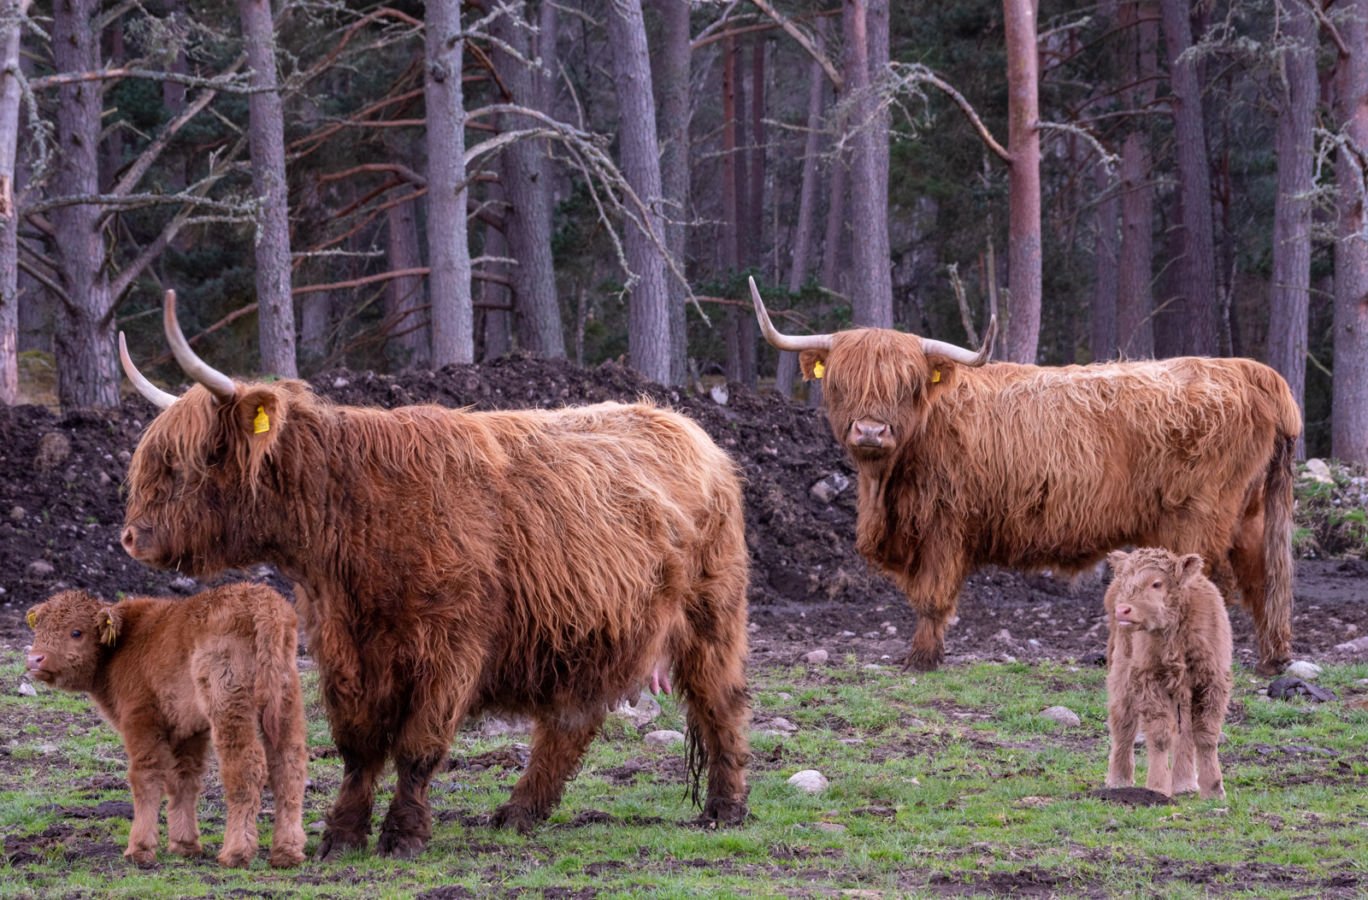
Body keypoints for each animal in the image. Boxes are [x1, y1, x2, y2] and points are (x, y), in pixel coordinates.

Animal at [24, 577, 307, 864]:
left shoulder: (141, 719)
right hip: (286, 706)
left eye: (76, 632)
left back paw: (236, 852)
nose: (35, 659)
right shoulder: (188, 730)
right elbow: (183, 779)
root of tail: (262, 603)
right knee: (288, 768)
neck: (122, 644)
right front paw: (184, 844)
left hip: (229, 708)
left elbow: (145, 777)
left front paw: (139, 848)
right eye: (40, 628)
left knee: (245, 768)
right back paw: (287, 852)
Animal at [117, 291, 755, 858]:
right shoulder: (342, 648)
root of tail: (687, 427)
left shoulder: (450, 645)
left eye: (195, 459)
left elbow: (418, 745)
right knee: (572, 720)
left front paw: (403, 834)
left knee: (719, 699)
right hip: (587, 629)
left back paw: (725, 809)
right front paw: (342, 833)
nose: (132, 536)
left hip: (711, 612)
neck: (355, 516)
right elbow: (358, 747)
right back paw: (519, 811)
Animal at [755, 276, 1296, 670]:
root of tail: (1253, 372)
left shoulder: (944, 524)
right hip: (1245, 514)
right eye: (840, 382)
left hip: (1198, 516)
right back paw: (1273, 660)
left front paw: (922, 658)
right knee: (1264, 580)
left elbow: (932, 596)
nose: (870, 430)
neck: (886, 484)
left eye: (907, 384)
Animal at [1105, 547, 1236, 798]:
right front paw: (1157, 787)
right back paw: (1118, 780)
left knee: (1184, 732)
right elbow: (1160, 736)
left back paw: (1185, 784)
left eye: (1156, 583)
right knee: (1123, 724)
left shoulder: (1212, 682)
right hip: (1122, 672)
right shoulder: (1149, 680)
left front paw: (1214, 788)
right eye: (1127, 581)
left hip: (1182, 691)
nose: (1123, 610)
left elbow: (1206, 735)